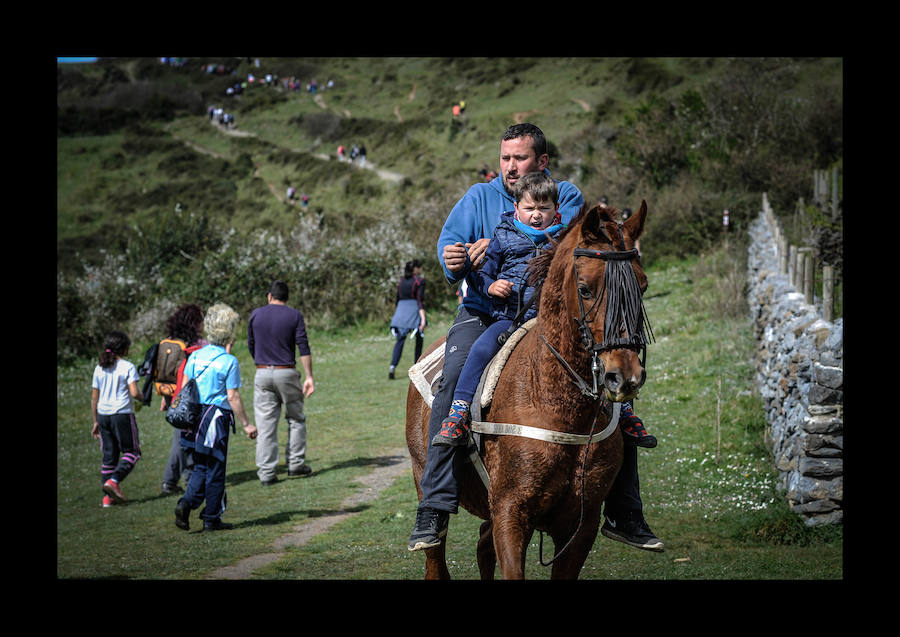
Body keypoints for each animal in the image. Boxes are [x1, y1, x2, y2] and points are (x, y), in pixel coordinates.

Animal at [404, 201, 652, 580]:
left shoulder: (581, 527)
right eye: (585, 289)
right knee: (436, 557)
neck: (556, 404)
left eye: (642, 286)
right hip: (423, 478)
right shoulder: (511, 514)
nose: (624, 376)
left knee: (482, 547)